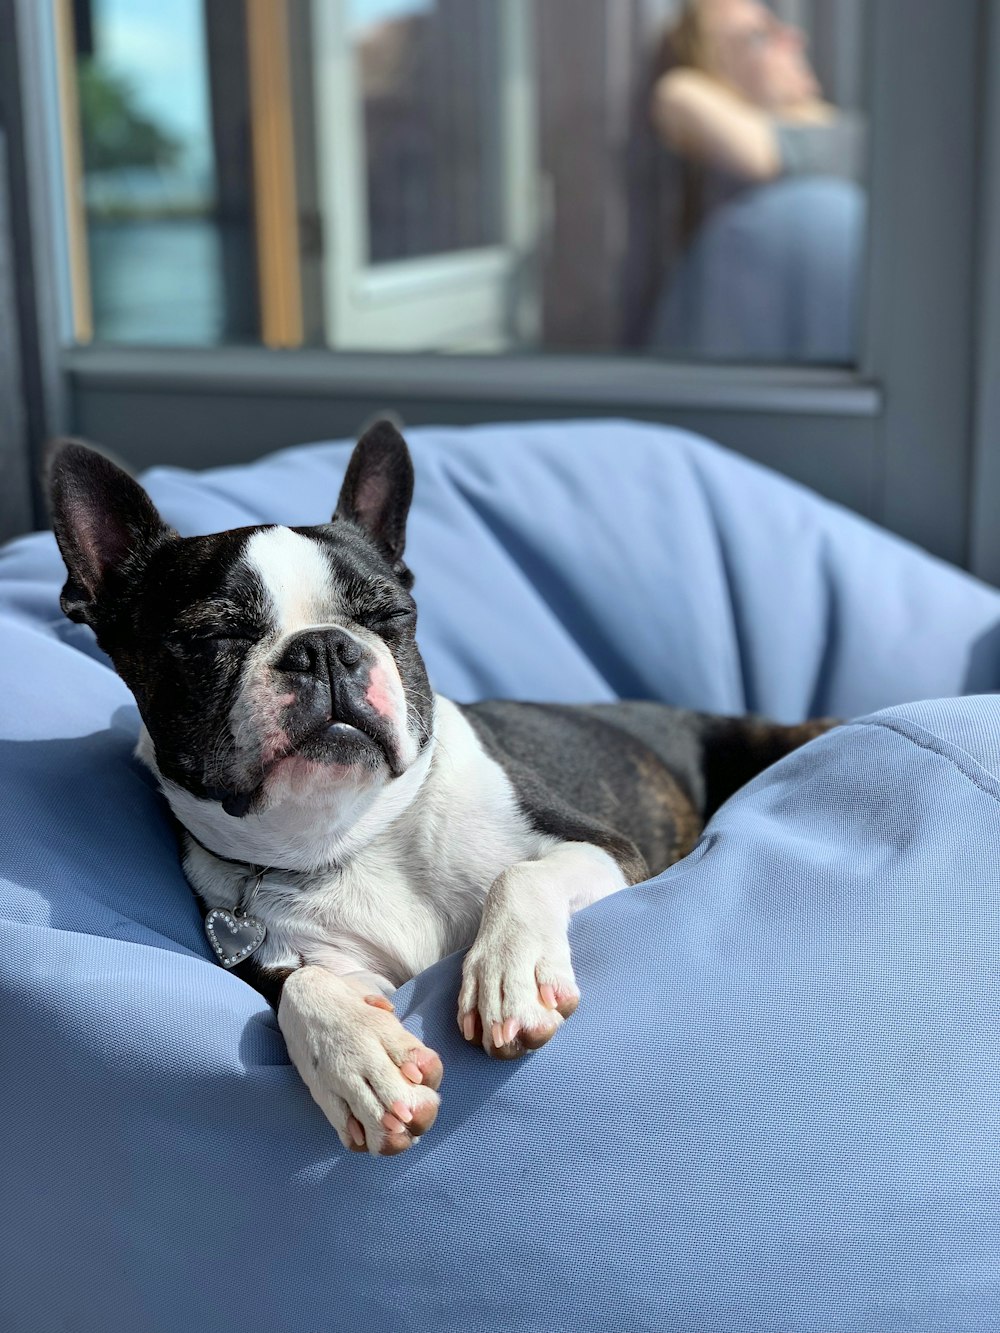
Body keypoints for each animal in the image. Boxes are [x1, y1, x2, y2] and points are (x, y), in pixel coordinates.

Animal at [47, 423, 832, 1157]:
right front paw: (360, 1058)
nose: (324, 646)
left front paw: (510, 976)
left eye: (389, 618)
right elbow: (301, 987)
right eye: (211, 638)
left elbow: (521, 875)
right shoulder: (280, 957)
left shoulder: (608, 848)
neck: (353, 835)